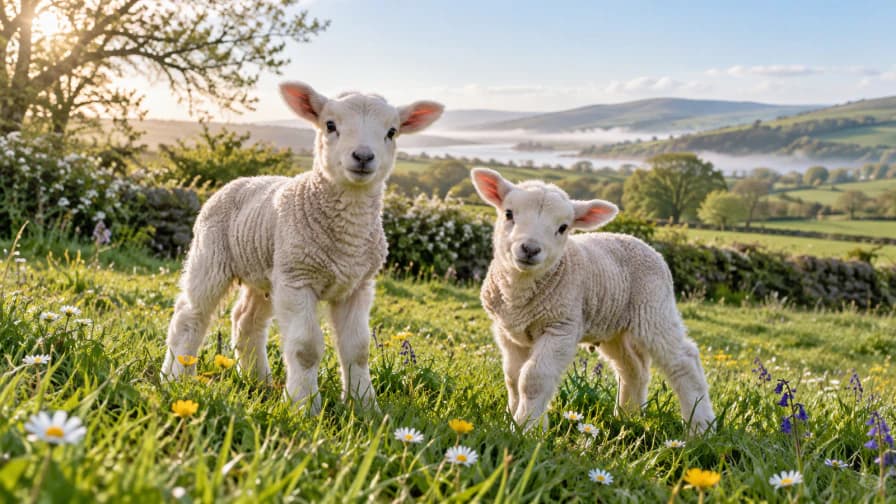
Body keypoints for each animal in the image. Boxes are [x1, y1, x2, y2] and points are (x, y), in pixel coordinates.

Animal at [161, 81, 443, 414]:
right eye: (330, 125)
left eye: (392, 131)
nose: (363, 156)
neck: (346, 238)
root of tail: (242, 180)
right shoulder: (298, 279)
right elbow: (306, 349)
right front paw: (303, 406)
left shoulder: (357, 285)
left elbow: (358, 349)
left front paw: (364, 407)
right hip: (212, 255)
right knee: (190, 315)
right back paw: (176, 376)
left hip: (267, 271)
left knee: (246, 321)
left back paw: (257, 379)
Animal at [471, 168, 715, 435]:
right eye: (509, 214)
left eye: (563, 227)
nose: (530, 249)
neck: (520, 295)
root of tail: (642, 243)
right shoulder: (508, 332)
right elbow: (513, 378)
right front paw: (516, 421)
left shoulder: (561, 327)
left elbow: (533, 379)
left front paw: (527, 428)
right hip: (615, 328)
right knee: (632, 369)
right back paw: (628, 417)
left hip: (654, 309)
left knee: (684, 361)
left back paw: (701, 426)